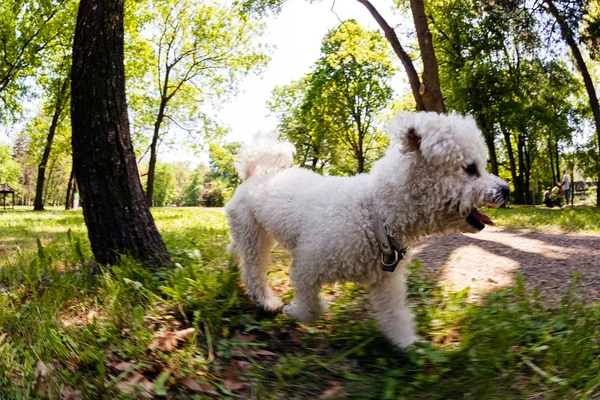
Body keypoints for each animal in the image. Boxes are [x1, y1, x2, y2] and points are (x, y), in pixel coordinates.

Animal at [227, 111, 508, 346]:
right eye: (471, 168)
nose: (506, 189)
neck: (375, 214)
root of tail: (254, 176)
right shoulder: (307, 267)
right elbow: (312, 307)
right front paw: (294, 311)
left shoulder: (386, 282)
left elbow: (395, 315)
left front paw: (410, 345)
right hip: (254, 235)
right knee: (253, 270)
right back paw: (267, 300)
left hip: (253, 232)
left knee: (236, 247)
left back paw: (232, 262)